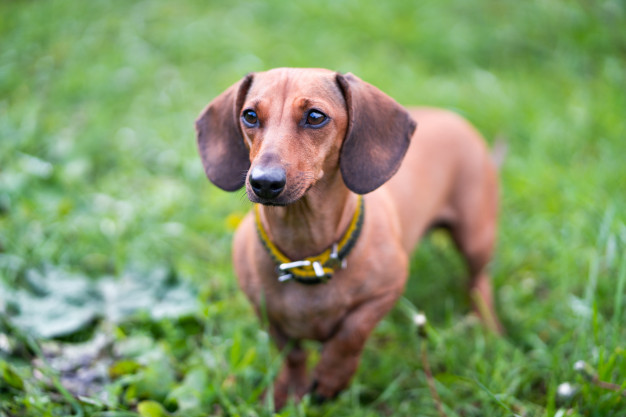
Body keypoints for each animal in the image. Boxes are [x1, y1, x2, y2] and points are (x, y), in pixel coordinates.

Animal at [194, 67, 498, 406]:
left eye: (315, 116)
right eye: (249, 115)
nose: (264, 183)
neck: (307, 257)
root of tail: (450, 115)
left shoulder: (386, 290)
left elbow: (351, 333)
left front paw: (332, 376)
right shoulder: (265, 312)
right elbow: (293, 354)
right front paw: (292, 389)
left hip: (476, 238)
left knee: (478, 280)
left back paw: (487, 325)